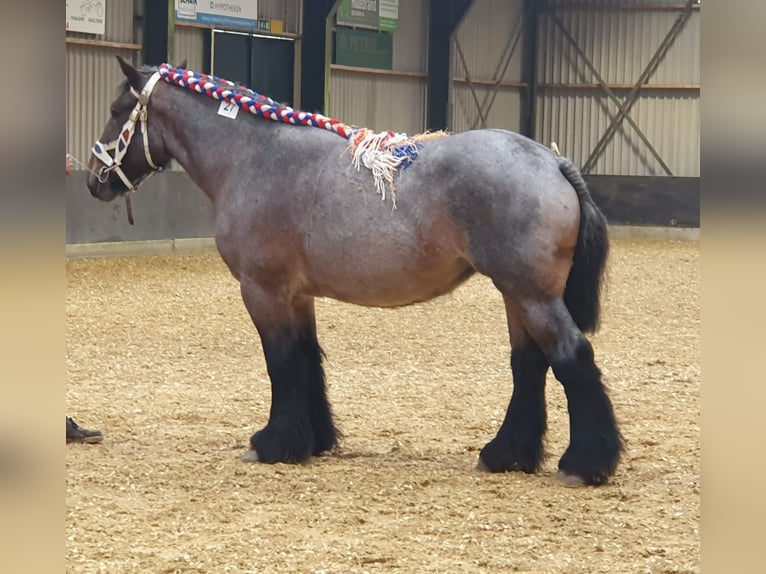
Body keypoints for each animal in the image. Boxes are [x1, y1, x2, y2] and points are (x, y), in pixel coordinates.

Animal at [85, 57, 624, 486]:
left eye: (115, 111)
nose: (94, 182)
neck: (254, 157)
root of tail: (552, 161)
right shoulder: (297, 296)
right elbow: (307, 360)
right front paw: (313, 440)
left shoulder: (263, 290)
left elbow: (280, 363)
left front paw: (273, 443)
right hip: (518, 294)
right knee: (529, 364)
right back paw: (507, 454)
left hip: (532, 294)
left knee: (571, 357)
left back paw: (585, 463)